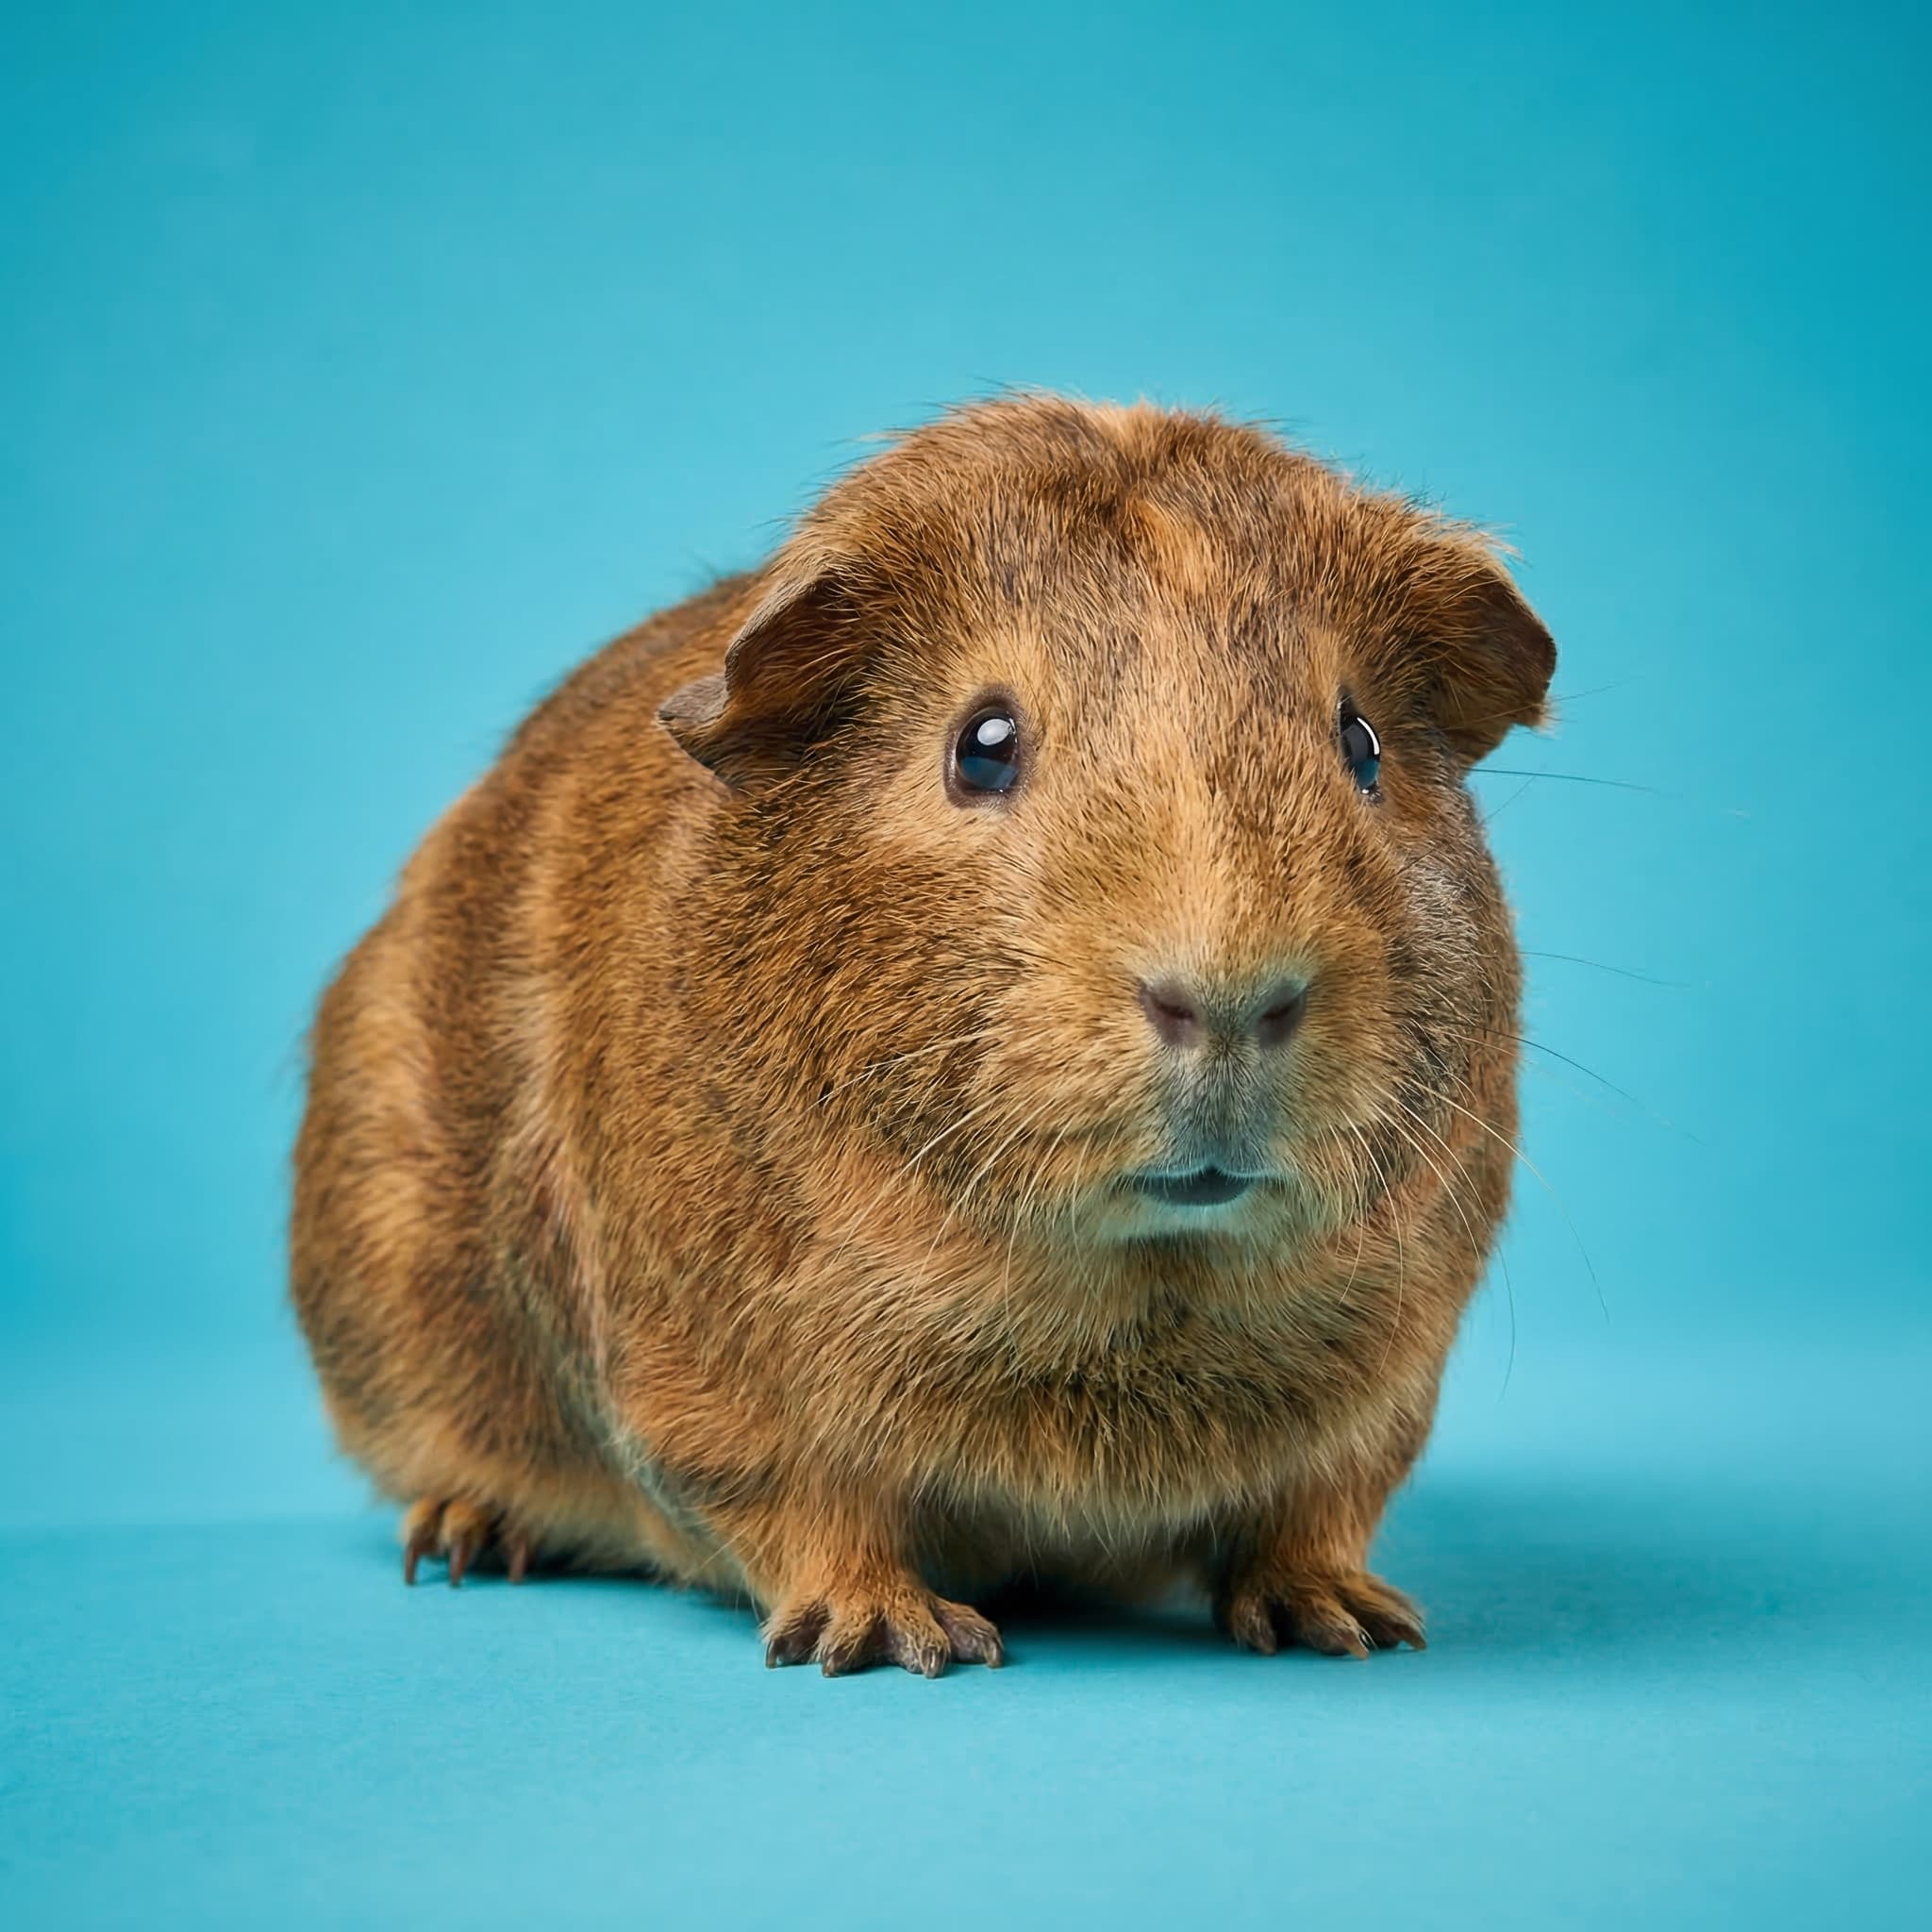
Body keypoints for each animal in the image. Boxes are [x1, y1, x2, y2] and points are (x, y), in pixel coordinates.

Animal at [291, 391, 1554, 1674]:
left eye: (1360, 744)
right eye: (981, 743)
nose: (1230, 995)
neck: (1141, 1306)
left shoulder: (1385, 1393)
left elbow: (1313, 1510)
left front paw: (1348, 1622)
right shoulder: (720, 1395)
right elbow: (814, 1516)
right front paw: (896, 1636)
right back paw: (464, 1541)